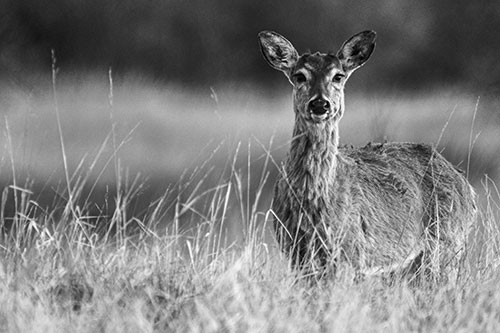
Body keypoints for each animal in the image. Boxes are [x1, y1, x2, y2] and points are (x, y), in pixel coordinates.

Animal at [258, 30, 476, 280]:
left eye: (338, 76)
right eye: (299, 76)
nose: (320, 104)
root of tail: (467, 185)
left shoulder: (350, 253)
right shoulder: (295, 252)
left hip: (448, 243)